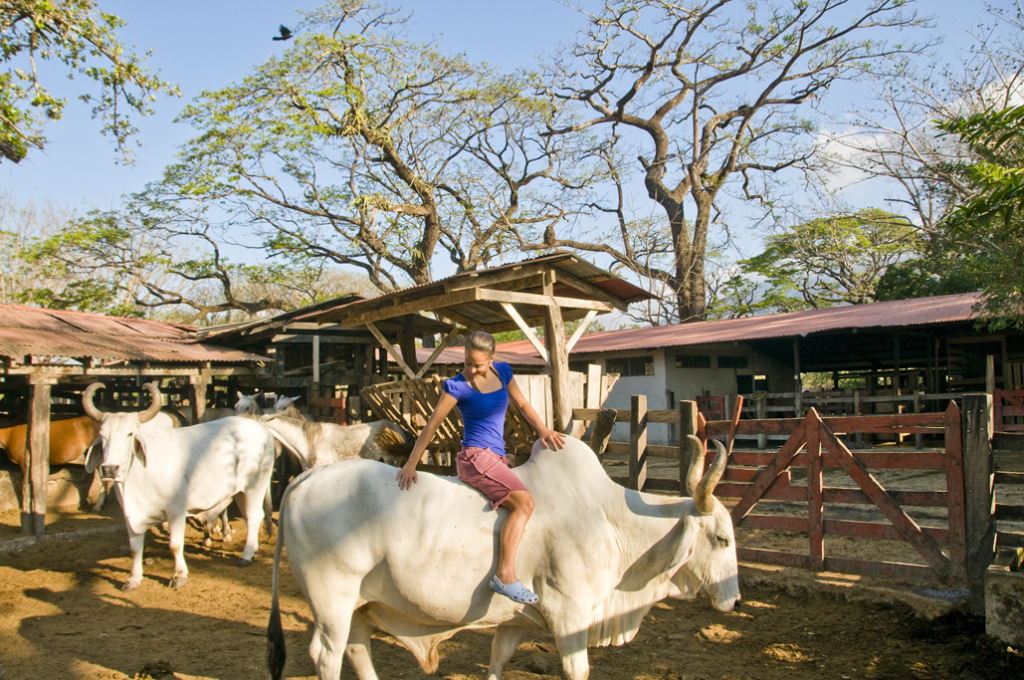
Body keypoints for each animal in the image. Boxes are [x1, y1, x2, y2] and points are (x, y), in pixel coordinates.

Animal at [83, 383, 276, 589]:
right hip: (240, 491)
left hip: (255, 486)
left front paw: (179, 575)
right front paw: (133, 578)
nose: (110, 468)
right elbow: (135, 548)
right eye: (102, 435)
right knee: (248, 517)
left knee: (254, 517)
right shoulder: (131, 514)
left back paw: (246, 555)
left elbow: (175, 544)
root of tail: (262, 430)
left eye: (130, 434)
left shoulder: (175, 510)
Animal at [268, 436, 741, 680]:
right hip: (332, 602)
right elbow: (577, 670)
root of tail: (303, 479)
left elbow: (497, 662)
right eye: (721, 539)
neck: (609, 518)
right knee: (327, 655)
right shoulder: (570, 616)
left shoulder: (514, 622)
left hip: (360, 606)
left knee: (358, 649)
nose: (733, 601)